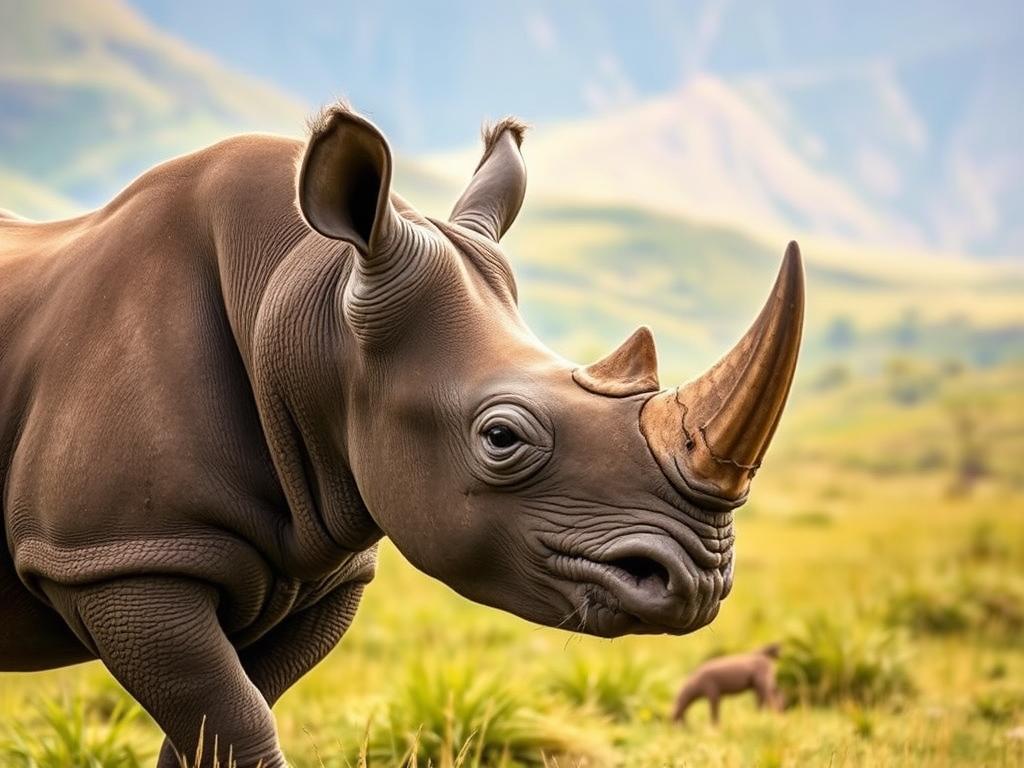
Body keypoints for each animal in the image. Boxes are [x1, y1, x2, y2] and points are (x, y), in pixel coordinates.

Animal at [0, 104, 803, 767]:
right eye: (502, 438)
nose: (700, 581)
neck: (308, 304)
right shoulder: (114, 557)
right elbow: (236, 723)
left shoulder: (321, 569)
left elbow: (223, 725)